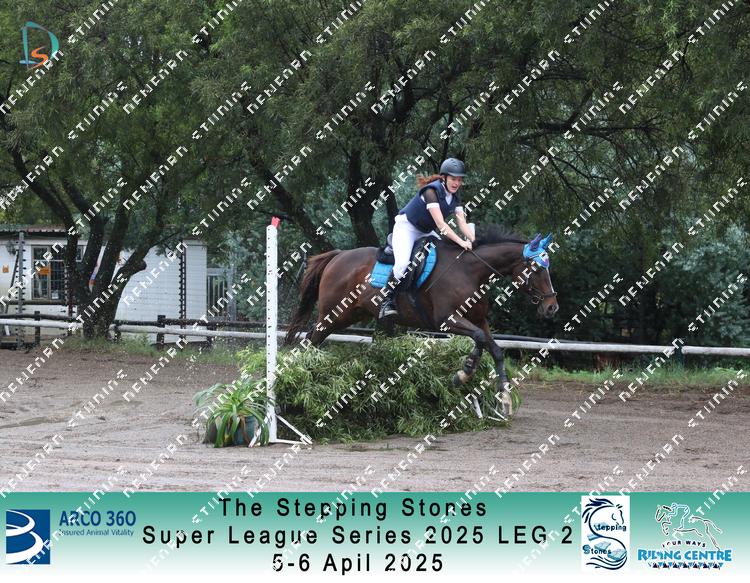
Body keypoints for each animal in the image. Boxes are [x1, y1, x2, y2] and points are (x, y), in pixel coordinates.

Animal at [284, 225, 559, 420]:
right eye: (536, 269)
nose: (552, 307)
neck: (471, 272)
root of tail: (338, 256)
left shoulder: (479, 321)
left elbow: (495, 349)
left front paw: (505, 400)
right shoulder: (447, 321)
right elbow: (480, 341)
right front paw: (463, 373)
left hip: (358, 317)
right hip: (334, 315)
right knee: (310, 340)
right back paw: (302, 382)